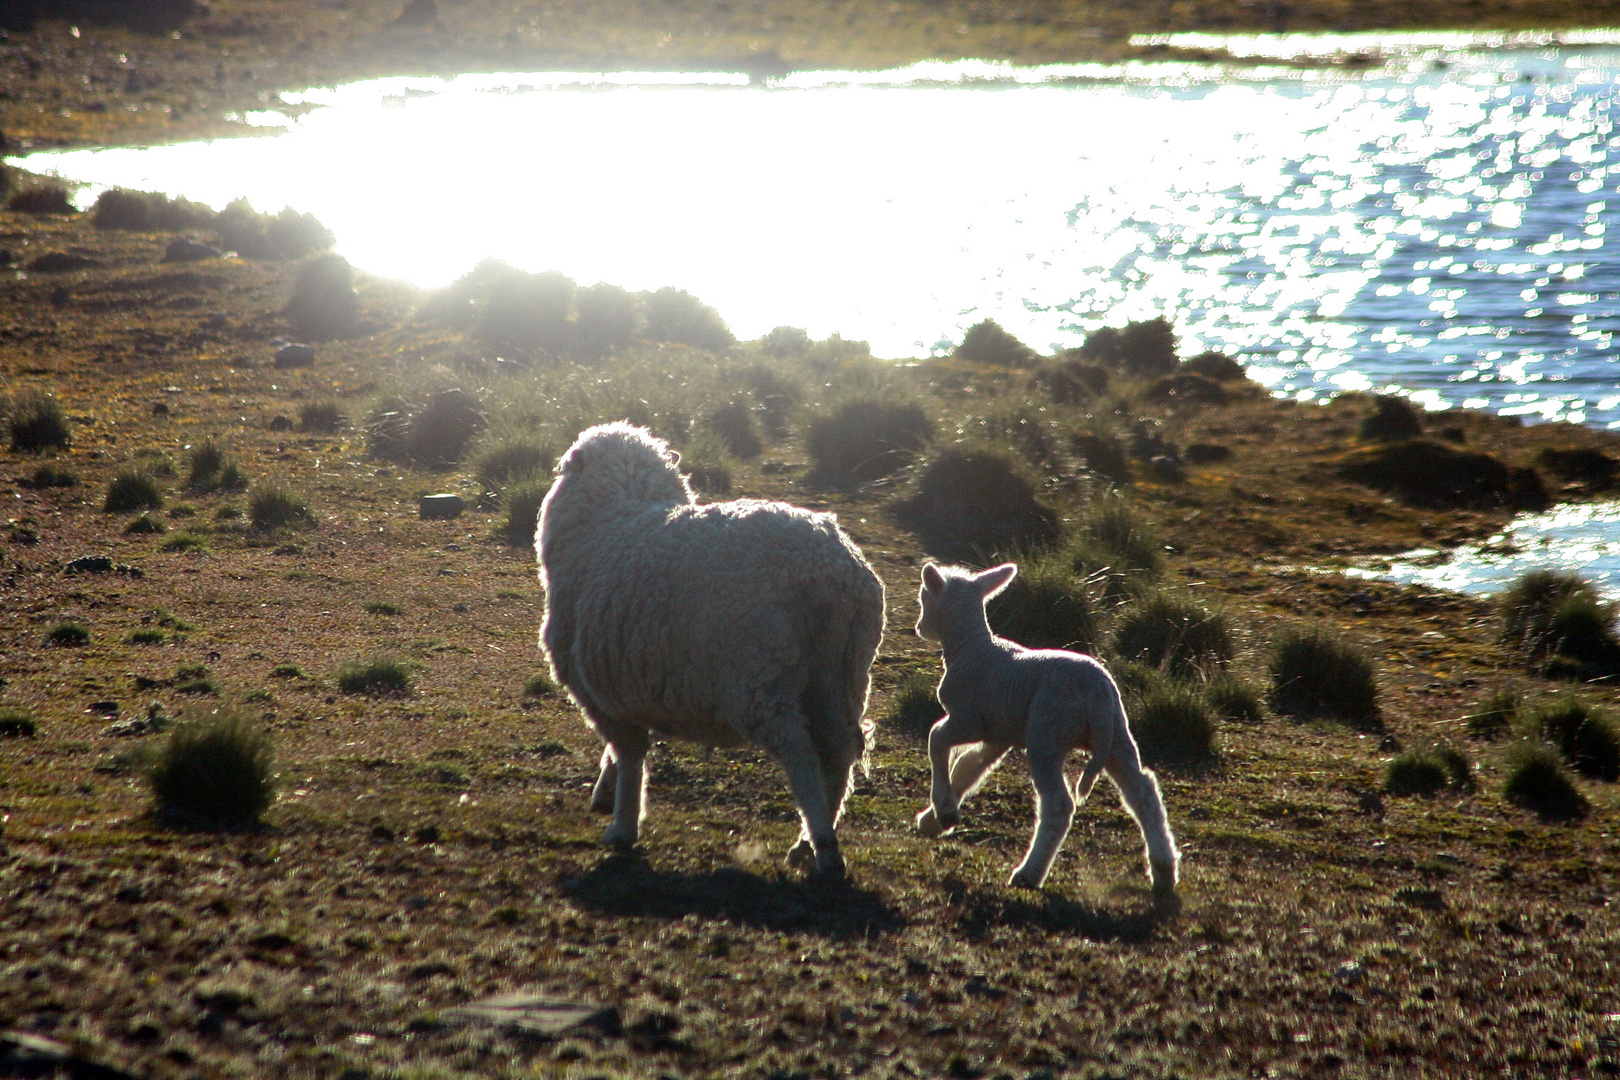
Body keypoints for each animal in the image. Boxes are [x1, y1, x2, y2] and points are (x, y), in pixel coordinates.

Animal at [537, 420, 887, 880]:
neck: (613, 513)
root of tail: (831, 571)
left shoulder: (601, 693)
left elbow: (630, 754)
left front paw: (622, 825)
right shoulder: (630, 684)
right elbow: (624, 753)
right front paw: (606, 792)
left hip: (759, 678)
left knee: (801, 753)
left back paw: (824, 848)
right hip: (842, 673)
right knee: (841, 749)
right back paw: (806, 844)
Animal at [913, 563, 1179, 906]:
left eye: (924, 599)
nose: (919, 628)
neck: (969, 647)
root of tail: (1097, 694)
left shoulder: (968, 718)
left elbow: (937, 740)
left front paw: (944, 810)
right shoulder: (1000, 733)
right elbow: (968, 767)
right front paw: (933, 820)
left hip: (1047, 733)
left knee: (1058, 804)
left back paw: (1029, 873)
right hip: (1116, 736)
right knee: (1143, 792)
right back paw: (1164, 871)